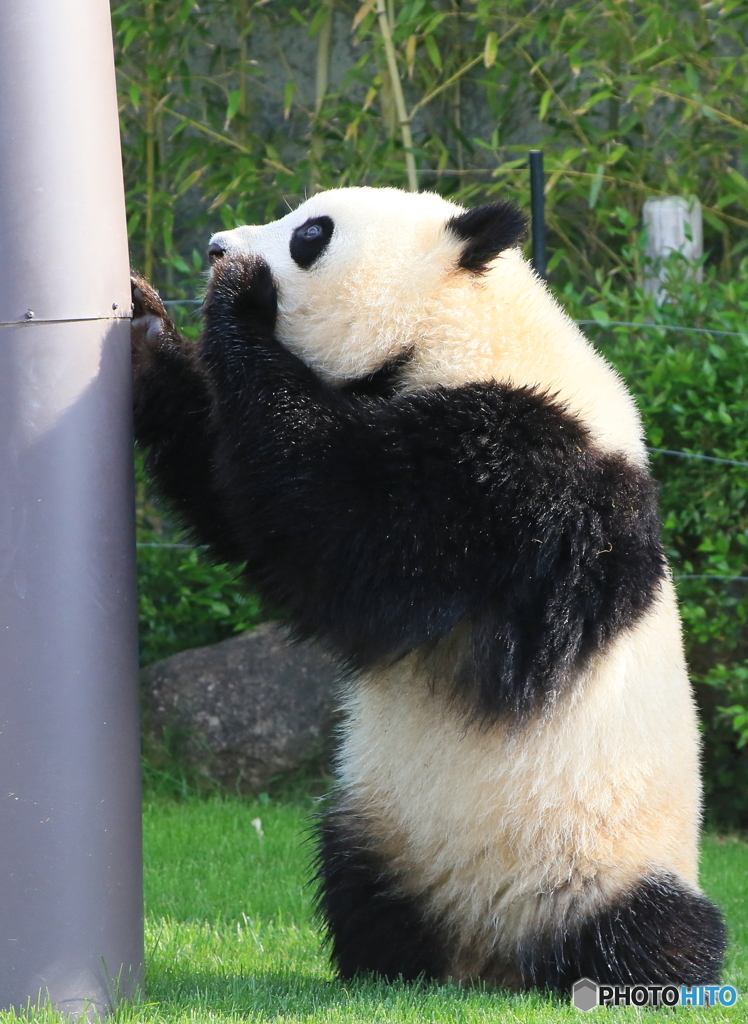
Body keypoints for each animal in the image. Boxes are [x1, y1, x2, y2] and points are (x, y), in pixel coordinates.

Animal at [131, 184, 725, 991]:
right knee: (361, 886)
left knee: (657, 932)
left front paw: (239, 296)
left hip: (606, 855)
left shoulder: (522, 470)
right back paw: (390, 966)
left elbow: (350, 535)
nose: (219, 247)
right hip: (386, 828)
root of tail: (492, 957)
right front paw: (148, 334)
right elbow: (239, 494)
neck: (463, 329)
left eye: (311, 234)